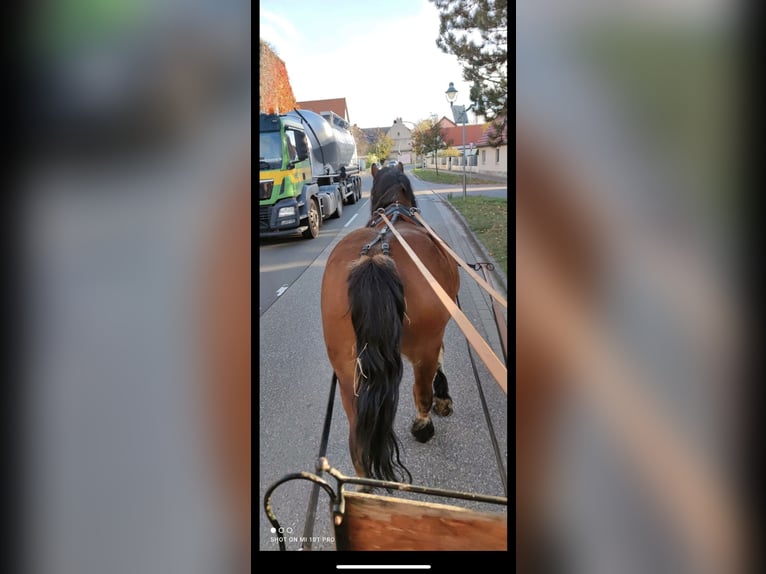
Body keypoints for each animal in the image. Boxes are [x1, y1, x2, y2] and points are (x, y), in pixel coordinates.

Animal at [320, 162, 460, 483]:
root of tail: (375, 257)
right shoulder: (440, 328)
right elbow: (443, 356)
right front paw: (444, 399)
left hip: (348, 371)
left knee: (357, 436)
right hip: (423, 348)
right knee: (422, 392)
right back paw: (423, 426)